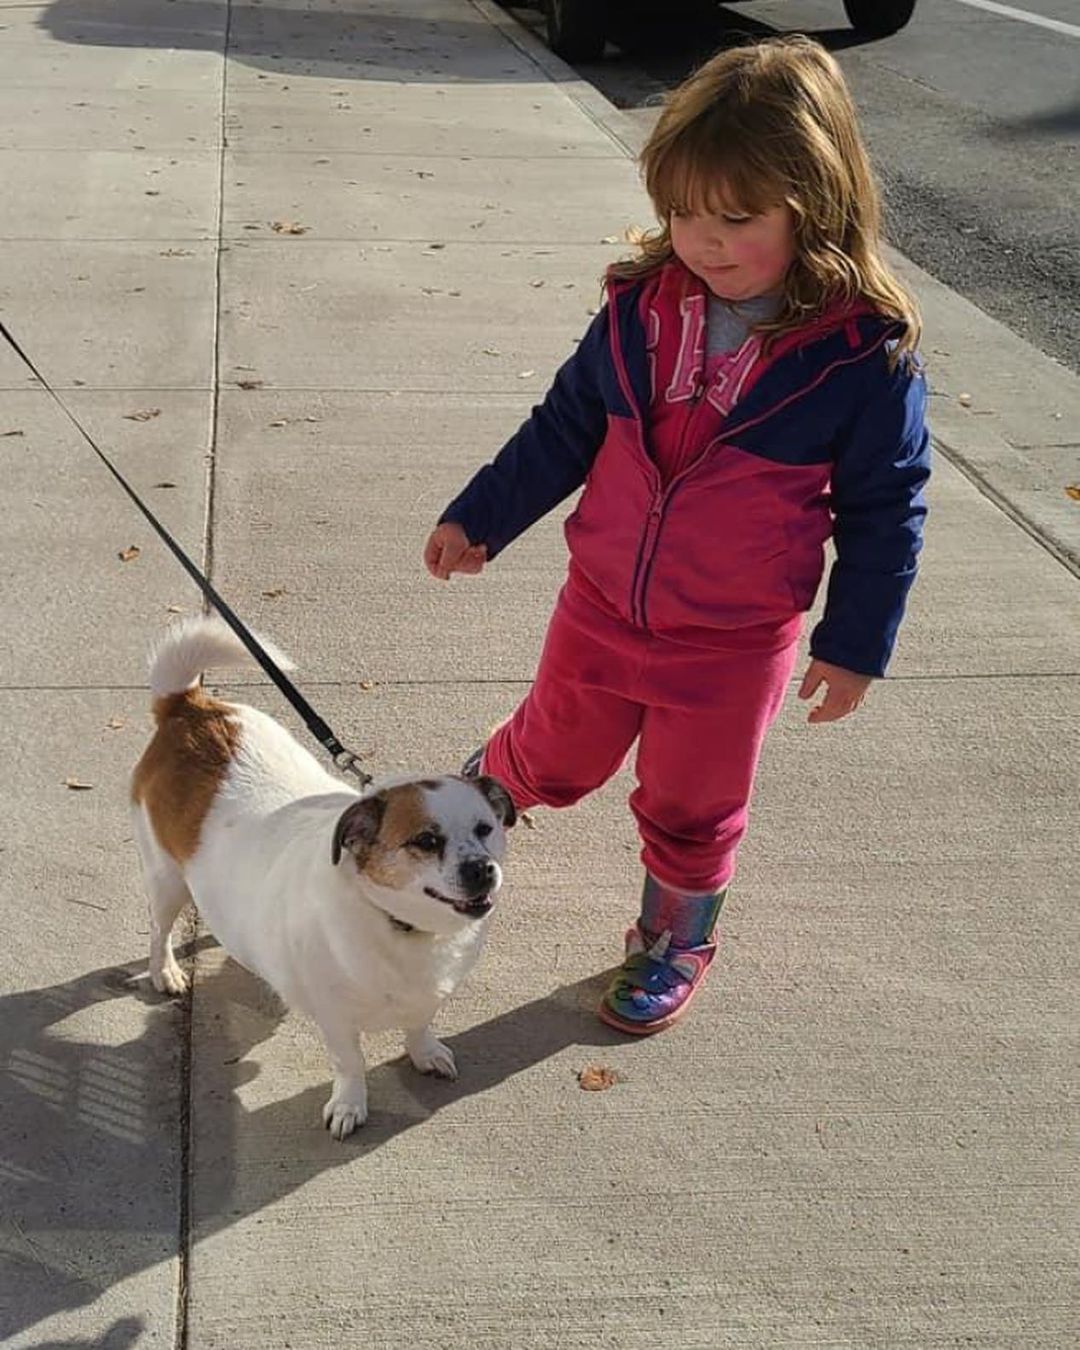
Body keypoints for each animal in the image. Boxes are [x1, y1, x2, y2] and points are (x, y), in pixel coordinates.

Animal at [130, 618, 515, 1134]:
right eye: (426, 840)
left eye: (484, 828)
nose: (482, 870)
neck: (402, 929)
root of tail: (190, 706)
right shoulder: (335, 1018)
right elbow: (350, 1062)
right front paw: (350, 1103)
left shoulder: (426, 997)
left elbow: (419, 1024)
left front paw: (423, 1051)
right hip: (166, 878)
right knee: (160, 928)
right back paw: (166, 971)